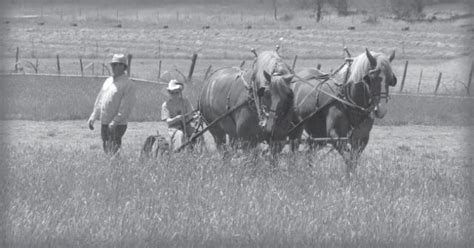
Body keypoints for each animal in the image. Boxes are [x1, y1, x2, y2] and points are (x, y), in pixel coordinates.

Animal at [288, 48, 396, 176]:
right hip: (296, 128)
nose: (381, 109)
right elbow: (348, 158)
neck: (348, 99)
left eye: (391, 79)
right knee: (293, 147)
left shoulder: (362, 138)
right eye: (371, 78)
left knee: (310, 151)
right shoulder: (336, 135)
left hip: (318, 133)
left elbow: (353, 161)